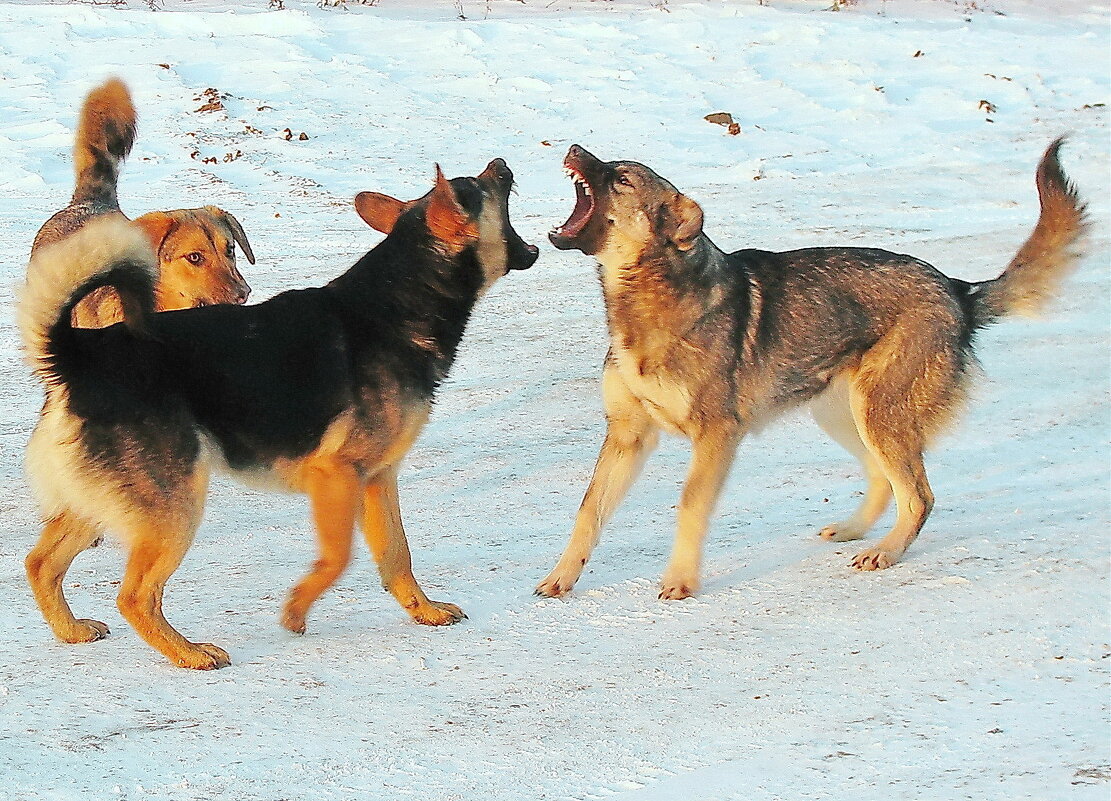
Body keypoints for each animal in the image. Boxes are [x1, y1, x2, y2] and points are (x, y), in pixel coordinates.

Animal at [18, 158, 537, 666]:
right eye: (476, 187)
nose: (503, 164)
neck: (399, 301)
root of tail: (76, 354)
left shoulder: (377, 478)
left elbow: (397, 555)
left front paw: (423, 611)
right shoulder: (338, 474)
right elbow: (338, 557)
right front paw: (296, 611)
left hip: (102, 505)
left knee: (41, 564)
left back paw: (72, 631)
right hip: (175, 507)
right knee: (134, 597)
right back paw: (189, 653)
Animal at [535, 142, 1084, 599]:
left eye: (622, 178)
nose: (573, 146)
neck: (649, 298)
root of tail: (956, 288)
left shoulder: (716, 436)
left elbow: (689, 507)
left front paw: (681, 581)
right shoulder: (628, 435)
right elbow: (587, 513)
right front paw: (561, 578)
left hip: (877, 415)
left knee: (920, 496)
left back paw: (886, 551)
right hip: (844, 416)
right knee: (885, 480)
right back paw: (854, 531)